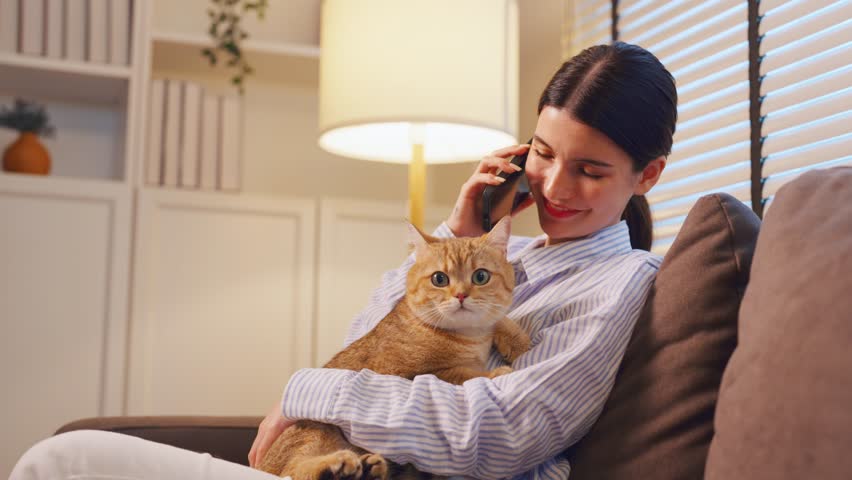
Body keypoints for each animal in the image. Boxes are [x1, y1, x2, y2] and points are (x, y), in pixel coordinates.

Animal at [256, 218, 528, 480]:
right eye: (439, 279)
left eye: (480, 276)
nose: (461, 295)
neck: (469, 336)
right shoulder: (401, 372)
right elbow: (458, 374)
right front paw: (495, 371)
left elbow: (499, 321)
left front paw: (517, 340)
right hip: (314, 432)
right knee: (294, 471)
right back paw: (338, 467)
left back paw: (367, 470)